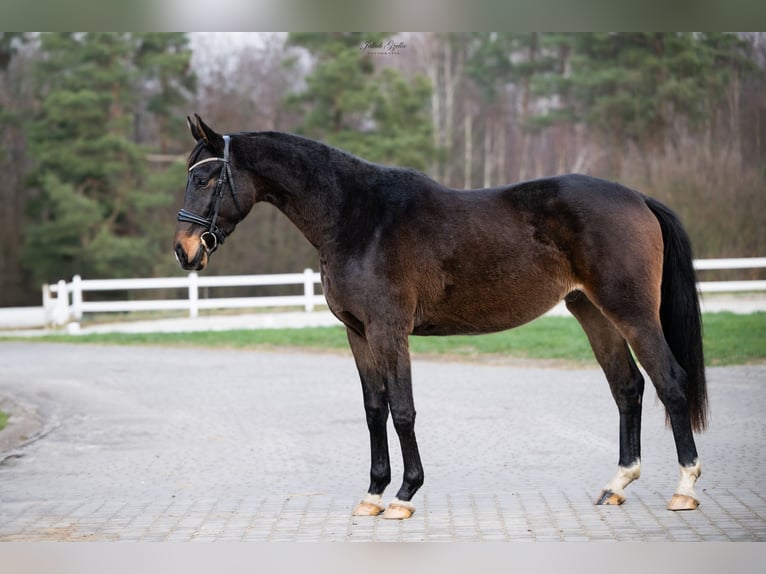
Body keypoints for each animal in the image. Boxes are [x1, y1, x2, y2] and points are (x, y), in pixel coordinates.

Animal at [173, 114, 708, 520]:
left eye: (204, 178)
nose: (184, 251)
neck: (358, 217)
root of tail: (638, 198)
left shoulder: (390, 331)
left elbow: (403, 410)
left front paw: (405, 495)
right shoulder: (358, 334)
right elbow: (374, 410)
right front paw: (373, 493)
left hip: (631, 311)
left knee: (670, 381)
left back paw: (685, 489)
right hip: (592, 311)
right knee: (627, 387)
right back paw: (618, 484)